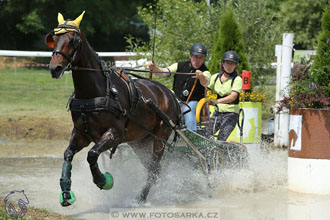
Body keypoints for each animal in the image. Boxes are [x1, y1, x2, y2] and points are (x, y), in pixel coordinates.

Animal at [44, 11, 180, 206]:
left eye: (72, 40)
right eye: (54, 38)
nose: (55, 68)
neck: (94, 93)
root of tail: (170, 94)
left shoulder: (115, 134)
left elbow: (92, 154)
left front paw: (103, 180)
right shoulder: (81, 133)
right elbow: (68, 154)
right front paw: (66, 191)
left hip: (160, 136)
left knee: (154, 169)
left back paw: (142, 197)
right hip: (140, 141)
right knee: (152, 167)